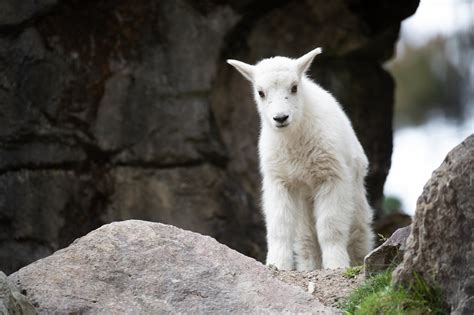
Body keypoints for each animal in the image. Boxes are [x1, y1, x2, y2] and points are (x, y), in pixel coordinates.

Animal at [229, 47, 374, 272]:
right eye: (261, 92)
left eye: (294, 87)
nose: (280, 118)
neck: (294, 139)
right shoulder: (280, 181)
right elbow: (279, 227)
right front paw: (277, 264)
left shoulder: (331, 178)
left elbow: (330, 227)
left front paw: (335, 264)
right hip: (303, 202)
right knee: (306, 238)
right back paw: (309, 267)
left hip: (354, 191)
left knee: (358, 232)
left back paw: (358, 261)